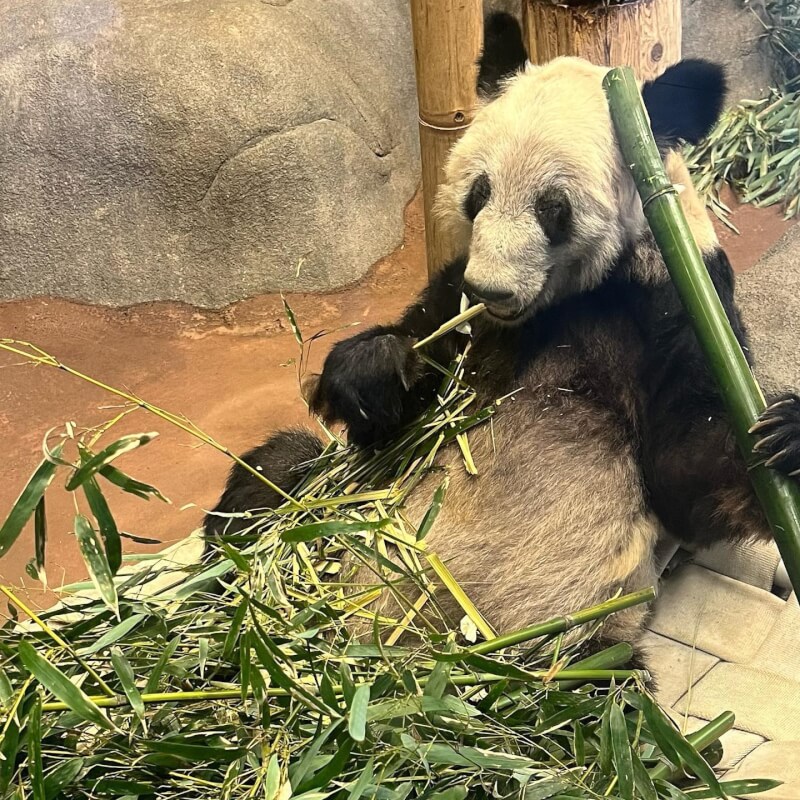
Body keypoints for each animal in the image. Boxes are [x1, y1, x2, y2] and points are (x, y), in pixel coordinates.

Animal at [205, 12, 800, 660]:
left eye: (553, 208)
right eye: (479, 192)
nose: (490, 289)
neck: (558, 304)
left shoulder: (676, 293)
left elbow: (690, 474)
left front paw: (787, 435)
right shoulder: (455, 297)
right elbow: (403, 401)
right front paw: (374, 370)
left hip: (574, 648)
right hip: (326, 504)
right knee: (271, 477)